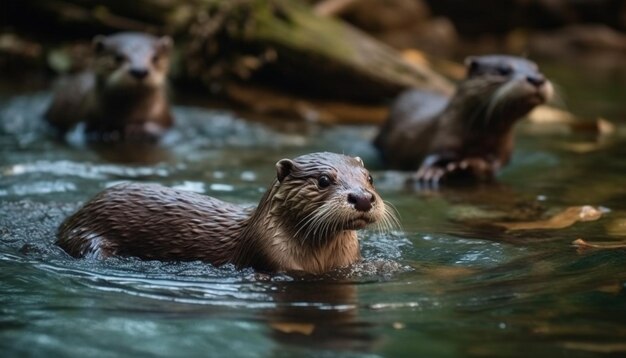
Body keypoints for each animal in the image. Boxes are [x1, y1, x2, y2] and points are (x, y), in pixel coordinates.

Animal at [45, 32, 173, 141]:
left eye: (155, 57)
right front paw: (102, 130)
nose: (139, 71)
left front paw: (139, 129)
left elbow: (160, 129)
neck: (126, 117)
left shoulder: (163, 117)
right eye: (118, 57)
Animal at [370, 56, 552, 185]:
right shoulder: (443, 134)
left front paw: (470, 164)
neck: (478, 137)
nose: (537, 79)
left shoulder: (503, 153)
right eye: (503, 70)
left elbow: (492, 166)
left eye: (537, 69)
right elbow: (433, 155)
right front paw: (432, 171)